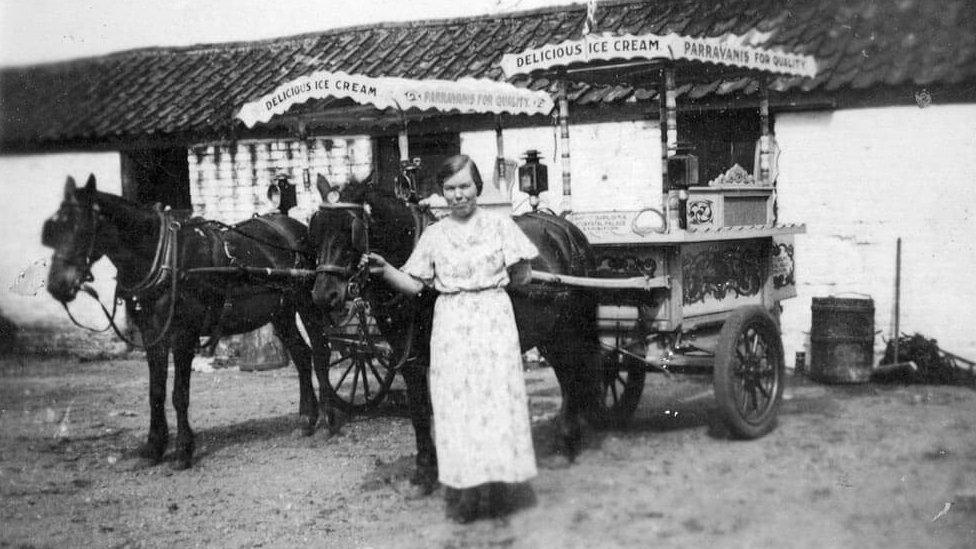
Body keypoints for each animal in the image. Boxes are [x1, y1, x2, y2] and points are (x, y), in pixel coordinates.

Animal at [43, 174, 332, 466]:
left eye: (82, 229)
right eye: (53, 231)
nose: (57, 286)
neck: (163, 258)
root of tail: (293, 225)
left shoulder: (183, 334)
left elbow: (179, 394)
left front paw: (183, 449)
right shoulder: (152, 334)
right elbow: (156, 392)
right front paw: (154, 447)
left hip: (307, 302)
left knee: (320, 352)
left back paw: (331, 416)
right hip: (281, 312)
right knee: (301, 355)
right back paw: (307, 419)